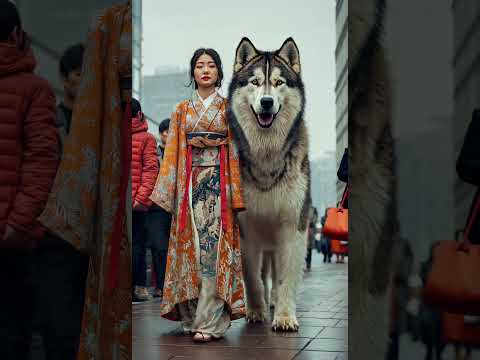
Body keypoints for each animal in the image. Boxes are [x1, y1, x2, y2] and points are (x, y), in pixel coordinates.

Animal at [226, 37, 310, 332]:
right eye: (254, 82)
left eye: (278, 82)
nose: (266, 102)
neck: (267, 156)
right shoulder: (246, 230)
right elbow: (252, 278)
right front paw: (255, 311)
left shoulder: (293, 227)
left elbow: (285, 278)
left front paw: (284, 316)